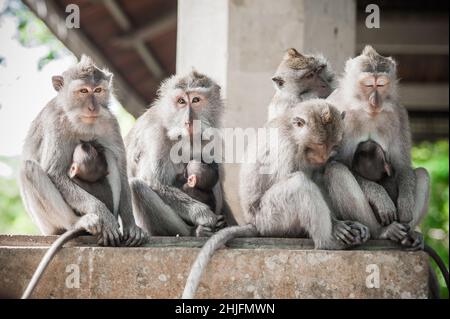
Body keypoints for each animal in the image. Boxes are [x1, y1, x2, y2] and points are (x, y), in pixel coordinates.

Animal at [19, 55, 146, 300]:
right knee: (29, 169)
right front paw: (101, 213)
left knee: (110, 155)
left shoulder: (110, 121)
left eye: (98, 90)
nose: (92, 106)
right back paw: (78, 223)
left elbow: (121, 166)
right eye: (83, 91)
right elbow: (54, 172)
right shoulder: (55, 123)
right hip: (47, 225)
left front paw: (131, 225)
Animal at [123, 70, 236, 240]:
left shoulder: (213, 138)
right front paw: (204, 214)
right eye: (181, 101)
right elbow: (155, 183)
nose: (188, 121)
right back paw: (193, 232)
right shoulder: (155, 134)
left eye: (196, 100)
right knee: (137, 187)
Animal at [181, 100, 370, 300]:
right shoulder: (285, 146)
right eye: (318, 144)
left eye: (333, 144)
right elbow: (289, 177)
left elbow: (318, 174)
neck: (294, 135)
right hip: (270, 219)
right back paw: (327, 243)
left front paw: (345, 222)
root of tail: (253, 223)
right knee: (299, 183)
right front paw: (336, 225)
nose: (324, 156)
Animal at [322, 44, 430, 250]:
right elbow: (333, 164)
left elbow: (403, 165)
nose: (375, 101)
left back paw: (409, 234)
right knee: (336, 171)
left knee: (422, 174)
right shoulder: (335, 109)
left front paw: (405, 203)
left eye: (380, 84)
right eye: (367, 85)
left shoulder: (399, 113)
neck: (365, 110)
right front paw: (380, 196)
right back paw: (382, 232)